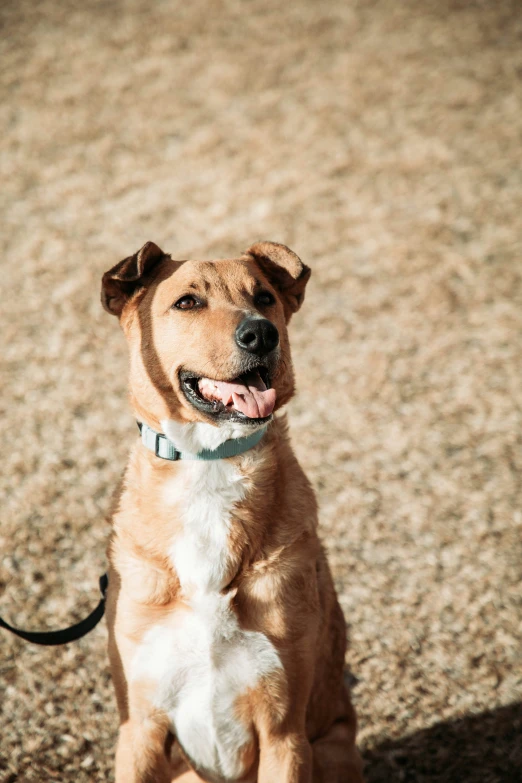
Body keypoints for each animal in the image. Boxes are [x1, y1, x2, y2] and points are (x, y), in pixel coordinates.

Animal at [100, 242, 362, 783]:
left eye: (264, 297)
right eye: (187, 302)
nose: (261, 333)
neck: (209, 466)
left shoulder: (285, 732)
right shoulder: (139, 727)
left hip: (331, 749)